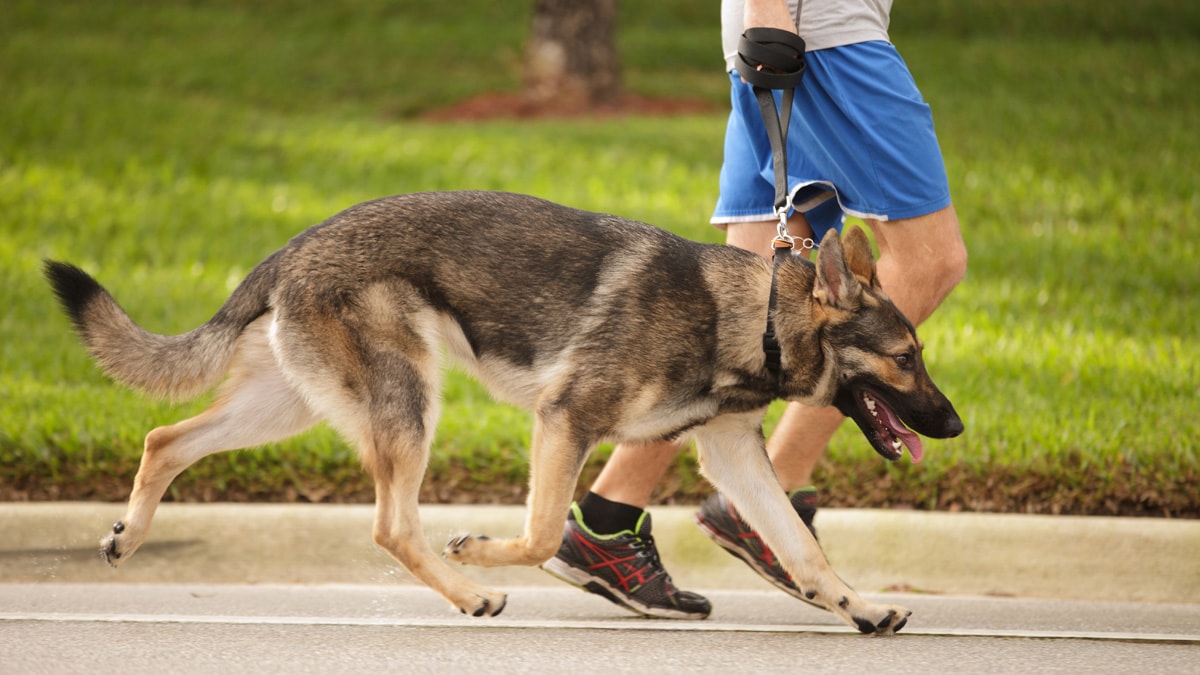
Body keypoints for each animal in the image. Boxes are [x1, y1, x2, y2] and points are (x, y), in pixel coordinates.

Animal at [46, 189, 960, 629]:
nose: (956, 426)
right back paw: (470, 591)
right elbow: (543, 533)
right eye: (906, 358)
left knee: (165, 437)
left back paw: (127, 534)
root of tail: (292, 247)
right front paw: (485, 550)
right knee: (391, 524)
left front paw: (862, 607)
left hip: (292, 407)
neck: (757, 316)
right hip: (408, 407)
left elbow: (806, 554)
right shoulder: (566, 421)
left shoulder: (733, 453)